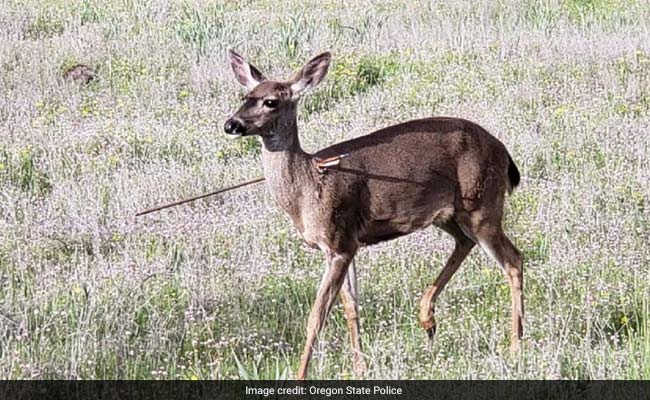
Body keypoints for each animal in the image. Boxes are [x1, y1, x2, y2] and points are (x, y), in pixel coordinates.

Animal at [225, 49, 524, 378]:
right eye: (245, 96)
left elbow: (317, 315)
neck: (307, 187)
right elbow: (351, 308)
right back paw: (428, 319)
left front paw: (300, 377)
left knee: (513, 260)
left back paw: (514, 345)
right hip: (450, 214)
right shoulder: (346, 243)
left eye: (270, 102)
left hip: (482, 203)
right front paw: (360, 367)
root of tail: (503, 150)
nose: (231, 125)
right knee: (467, 243)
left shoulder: (339, 240)